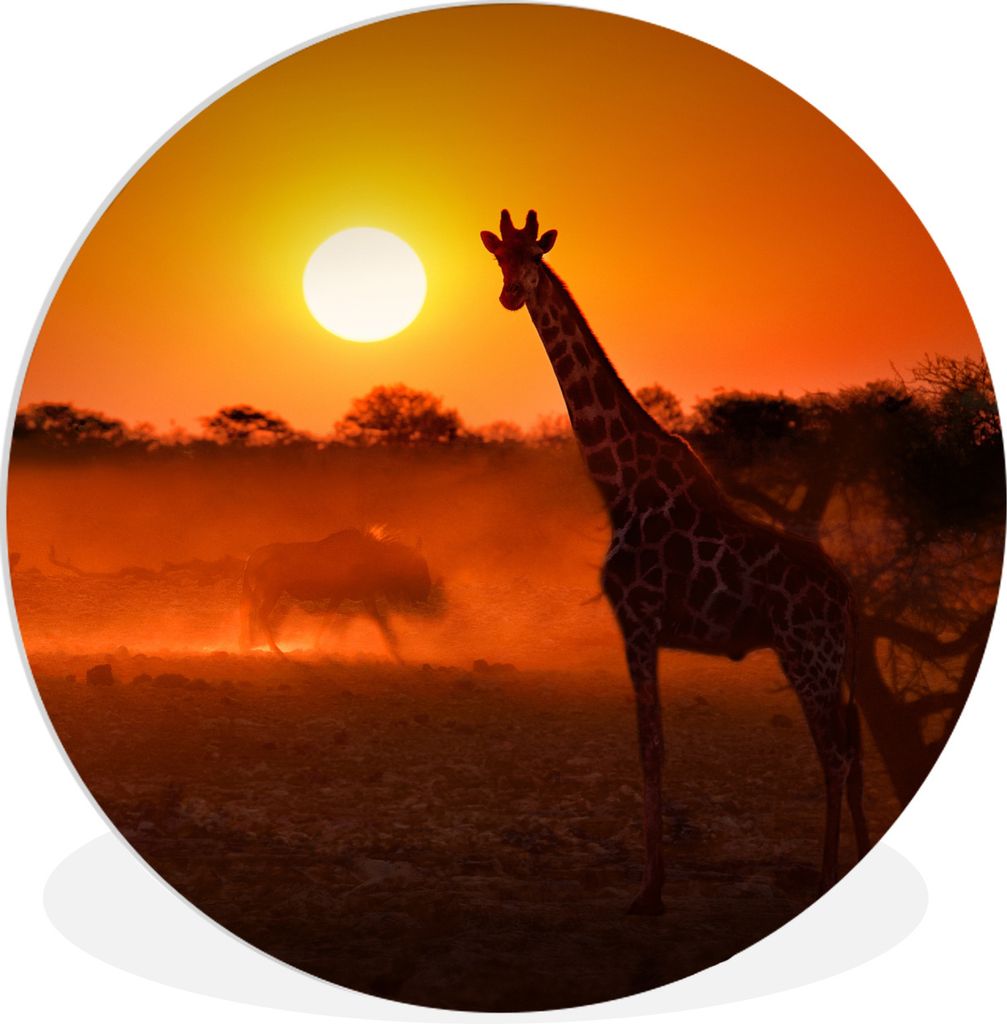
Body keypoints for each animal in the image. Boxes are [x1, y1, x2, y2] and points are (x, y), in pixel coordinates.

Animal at [481, 209, 869, 915]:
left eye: (535, 256)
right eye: (501, 258)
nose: (511, 295)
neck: (617, 484)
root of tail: (849, 597)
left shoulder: (636, 618)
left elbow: (650, 747)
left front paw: (649, 891)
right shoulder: (646, 627)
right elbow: (654, 745)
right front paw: (652, 885)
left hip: (809, 654)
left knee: (836, 756)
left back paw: (826, 876)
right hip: (826, 661)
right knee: (850, 751)